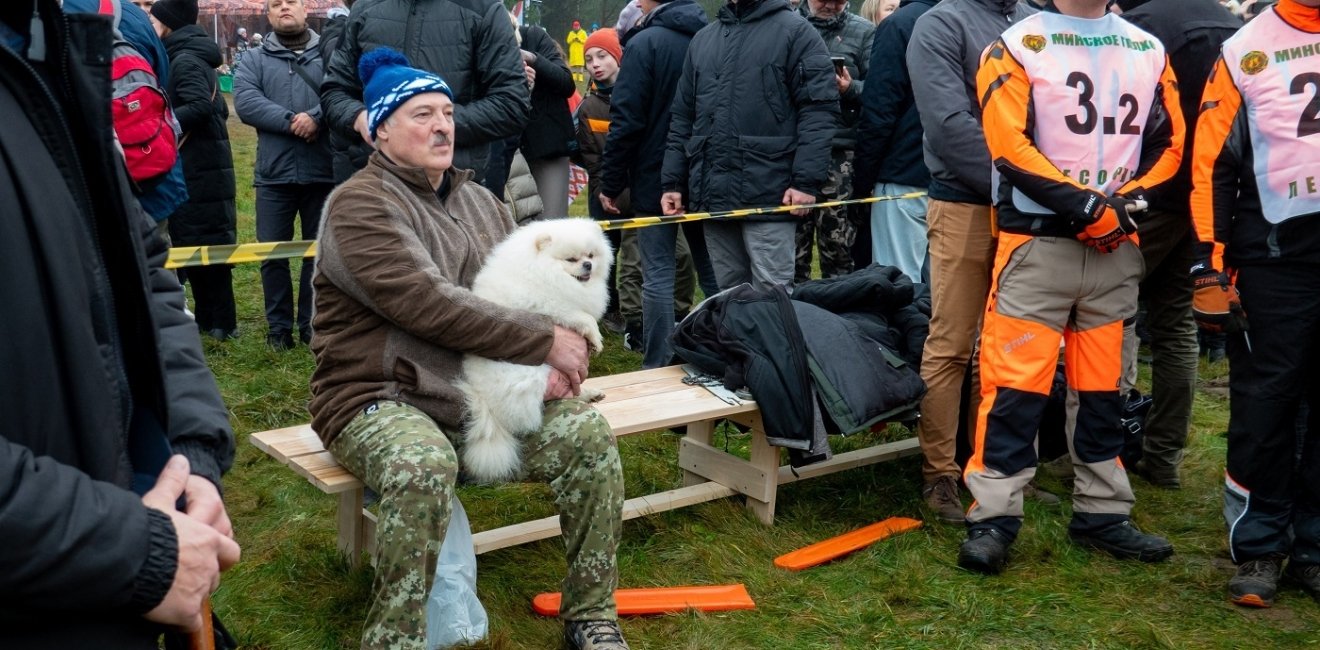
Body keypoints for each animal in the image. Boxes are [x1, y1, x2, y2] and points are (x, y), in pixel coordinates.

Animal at [459, 217, 612, 483]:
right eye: (571, 259)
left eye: (591, 255)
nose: (588, 265)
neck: (545, 271)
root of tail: (483, 397)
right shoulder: (554, 306)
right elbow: (583, 318)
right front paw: (596, 337)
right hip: (534, 373)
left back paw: (589, 393)